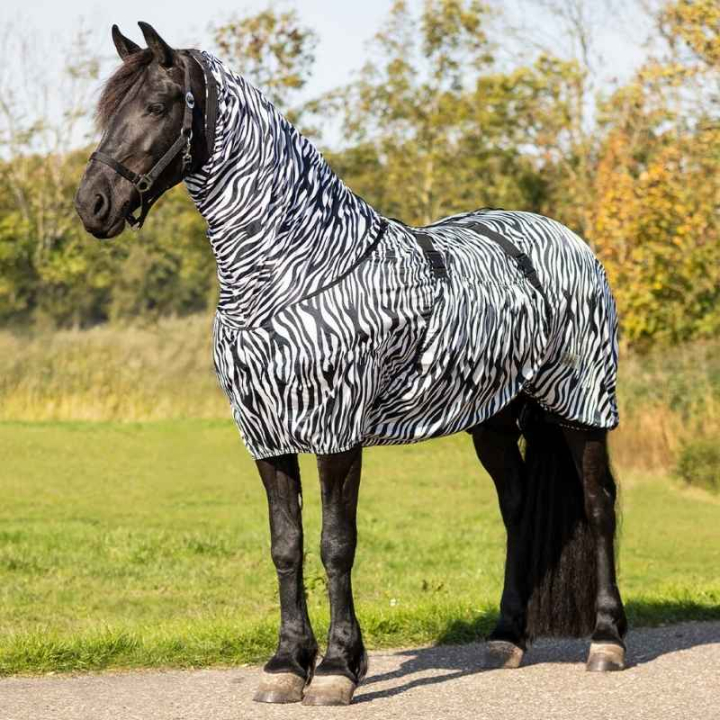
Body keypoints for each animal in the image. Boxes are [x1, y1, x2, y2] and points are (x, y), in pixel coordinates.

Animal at [75, 22, 628, 706]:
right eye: (108, 112)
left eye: (156, 106)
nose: (92, 205)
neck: (297, 268)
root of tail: (566, 239)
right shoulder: (266, 437)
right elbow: (286, 546)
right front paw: (287, 665)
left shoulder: (337, 433)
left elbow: (336, 545)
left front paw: (338, 668)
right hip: (495, 422)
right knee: (517, 510)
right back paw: (506, 637)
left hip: (582, 407)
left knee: (599, 506)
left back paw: (606, 641)